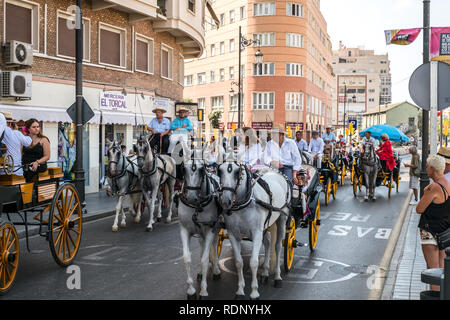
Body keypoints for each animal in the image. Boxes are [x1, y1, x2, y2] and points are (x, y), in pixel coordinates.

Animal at [178, 152, 223, 300]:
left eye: (202, 169)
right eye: (183, 169)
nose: (192, 197)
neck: (196, 207)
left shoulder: (209, 230)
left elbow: (204, 259)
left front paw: (203, 291)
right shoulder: (184, 230)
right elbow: (187, 258)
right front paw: (191, 290)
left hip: (216, 228)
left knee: (214, 244)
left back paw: (216, 270)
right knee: (203, 246)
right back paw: (200, 273)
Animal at [217, 162, 292, 300]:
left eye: (237, 172)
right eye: (220, 171)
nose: (225, 200)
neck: (244, 204)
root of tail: (277, 172)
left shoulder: (257, 233)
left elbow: (254, 262)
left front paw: (254, 292)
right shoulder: (233, 234)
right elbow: (238, 262)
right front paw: (240, 291)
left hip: (282, 219)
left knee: (277, 246)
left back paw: (277, 277)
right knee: (268, 242)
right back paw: (265, 273)